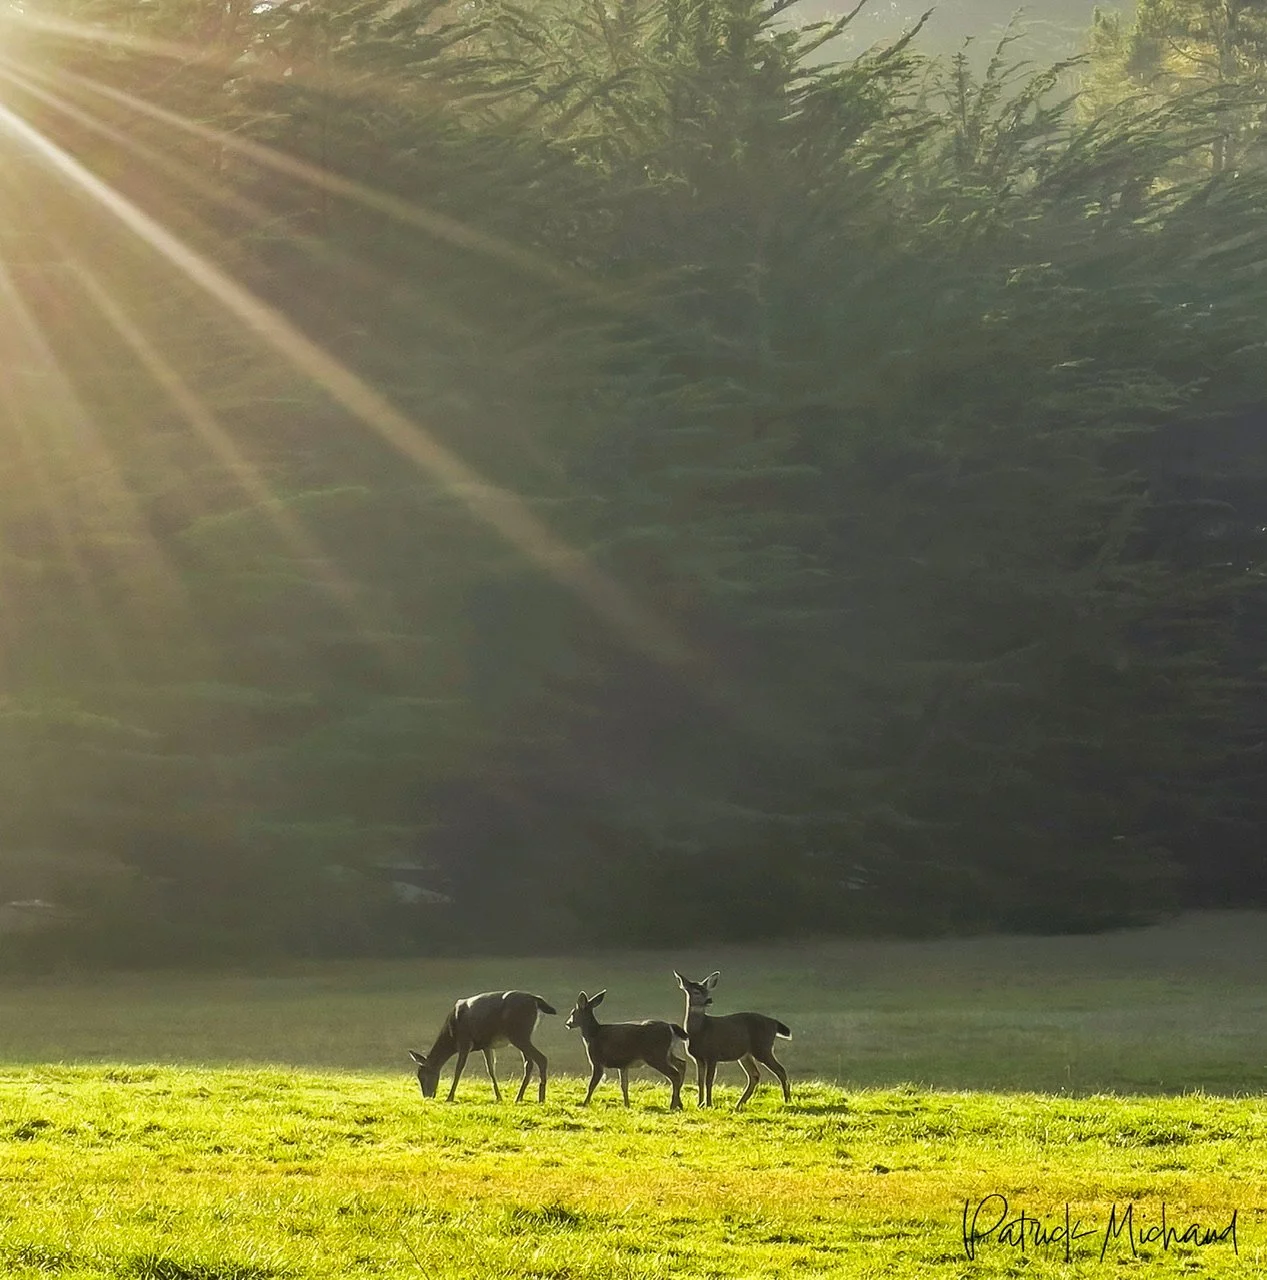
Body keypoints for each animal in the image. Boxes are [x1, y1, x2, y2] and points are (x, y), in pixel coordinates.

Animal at [409, 990, 556, 1103]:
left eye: (423, 1075)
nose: (427, 1096)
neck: (451, 1035)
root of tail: (535, 999)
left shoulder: (465, 1041)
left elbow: (459, 1069)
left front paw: (449, 1098)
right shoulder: (486, 1045)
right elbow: (491, 1070)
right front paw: (499, 1097)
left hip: (519, 1033)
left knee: (541, 1058)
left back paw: (541, 1098)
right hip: (522, 1035)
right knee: (529, 1063)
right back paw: (519, 1098)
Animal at [674, 970, 792, 1110]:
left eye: (707, 991)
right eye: (696, 991)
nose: (709, 1000)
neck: (700, 1031)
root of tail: (774, 1023)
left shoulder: (713, 1054)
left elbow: (709, 1081)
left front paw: (709, 1104)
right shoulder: (698, 1058)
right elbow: (700, 1081)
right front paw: (700, 1104)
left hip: (763, 1048)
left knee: (780, 1069)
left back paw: (787, 1100)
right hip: (746, 1054)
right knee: (755, 1075)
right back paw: (739, 1104)